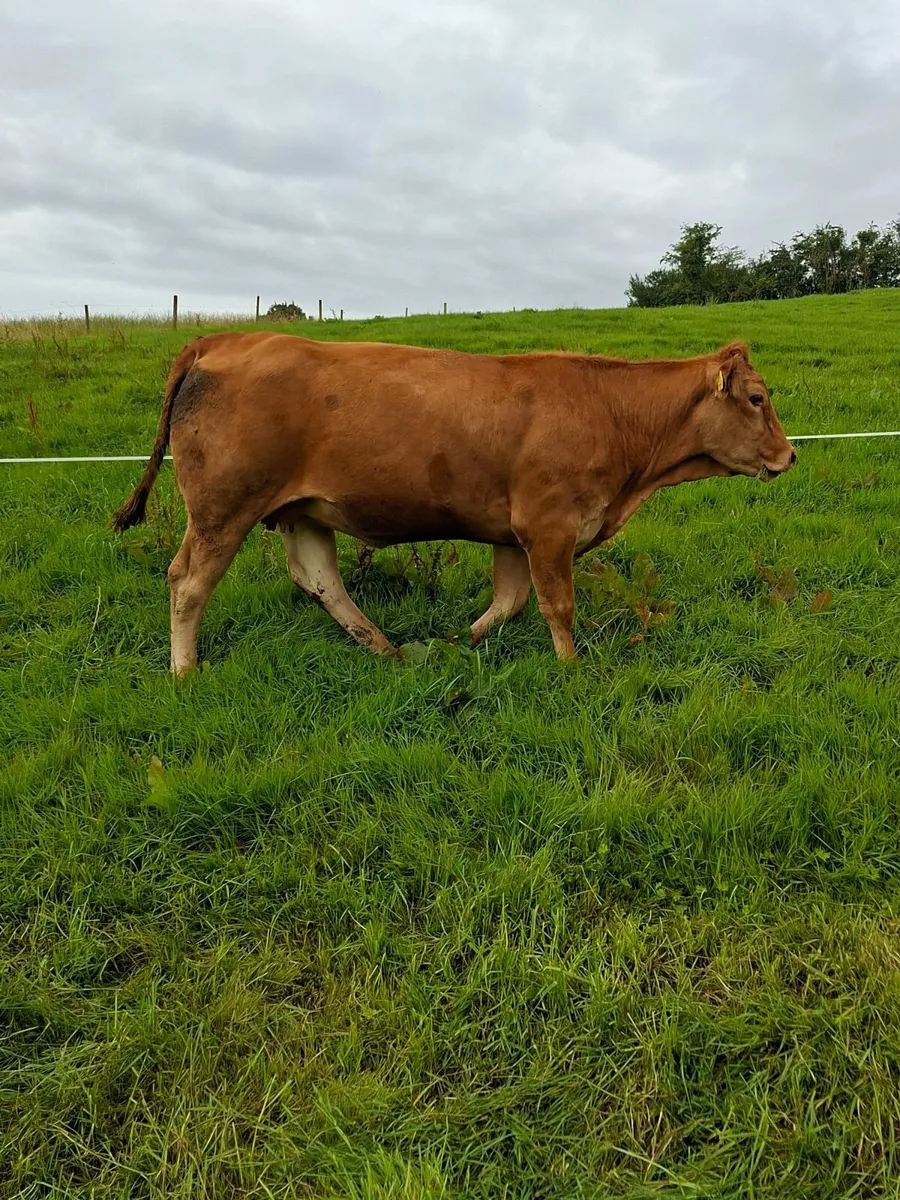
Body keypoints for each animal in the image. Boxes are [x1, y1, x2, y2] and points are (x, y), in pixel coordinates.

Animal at [112, 333, 795, 675]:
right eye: (757, 398)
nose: (789, 456)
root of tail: (226, 336)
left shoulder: (513, 533)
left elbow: (509, 600)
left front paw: (459, 642)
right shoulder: (549, 525)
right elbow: (558, 606)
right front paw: (572, 669)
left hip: (303, 511)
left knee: (320, 580)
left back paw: (385, 649)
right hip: (222, 510)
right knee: (187, 582)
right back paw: (184, 669)